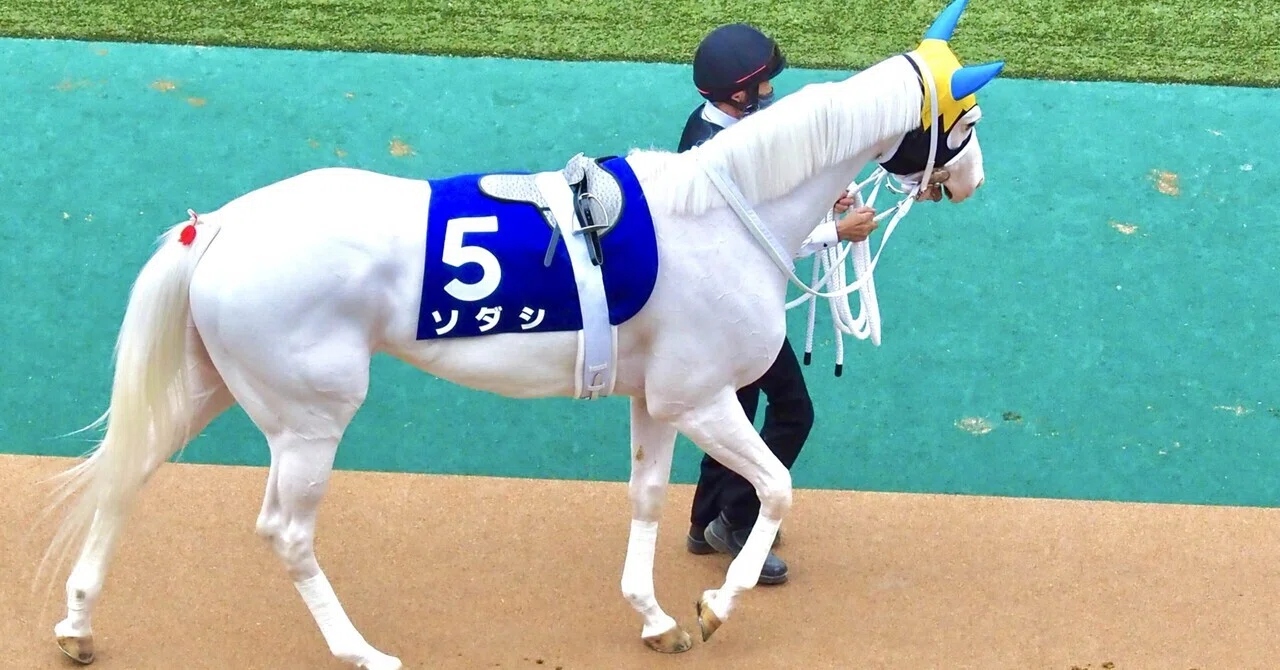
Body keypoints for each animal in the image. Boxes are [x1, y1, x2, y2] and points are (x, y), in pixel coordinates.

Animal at [37, 0, 1003, 666]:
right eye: (967, 118)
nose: (972, 183)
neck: (724, 210)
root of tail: (221, 226)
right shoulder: (703, 396)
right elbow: (774, 486)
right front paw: (715, 606)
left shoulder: (658, 400)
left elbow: (647, 498)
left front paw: (655, 616)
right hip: (310, 419)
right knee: (285, 531)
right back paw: (359, 650)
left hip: (212, 385)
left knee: (129, 472)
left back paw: (79, 622)